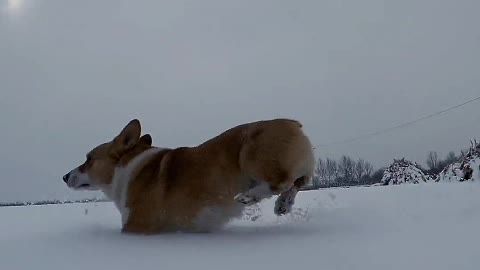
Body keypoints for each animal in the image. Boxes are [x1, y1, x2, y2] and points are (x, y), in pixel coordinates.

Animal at [62, 118, 316, 234]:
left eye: (88, 159)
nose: (64, 177)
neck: (126, 169)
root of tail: (293, 123)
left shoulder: (136, 226)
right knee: (298, 182)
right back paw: (283, 204)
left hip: (249, 153)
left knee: (282, 181)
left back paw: (249, 196)